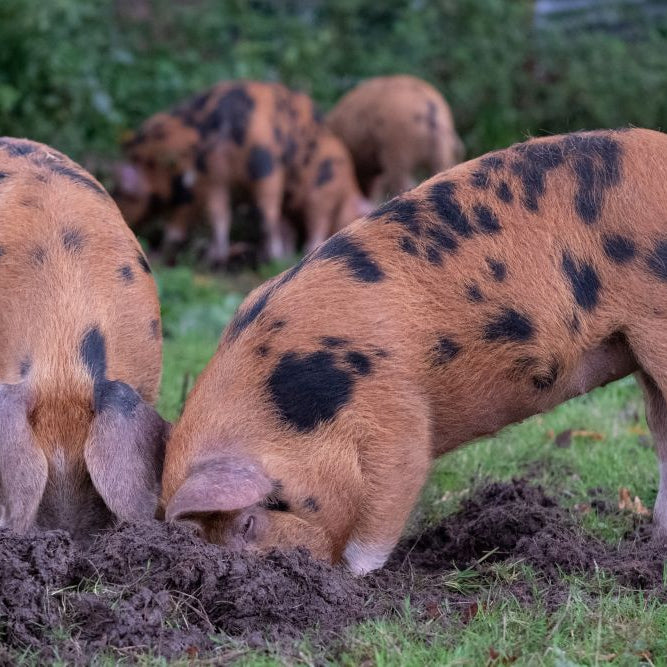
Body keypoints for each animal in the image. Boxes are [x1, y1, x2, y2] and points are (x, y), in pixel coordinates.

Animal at [114, 81, 370, 266]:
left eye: (123, 194)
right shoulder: (322, 192)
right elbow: (314, 223)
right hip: (265, 165)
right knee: (266, 214)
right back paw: (272, 256)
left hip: (218, 175)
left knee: (220, 214)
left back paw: (218, 258)